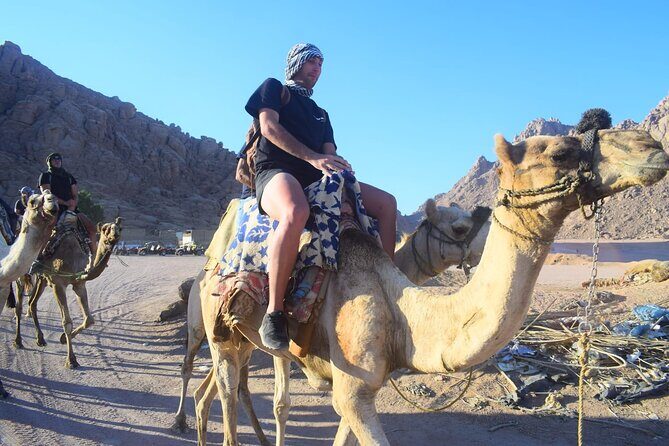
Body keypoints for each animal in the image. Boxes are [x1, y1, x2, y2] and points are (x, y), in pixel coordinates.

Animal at [19, 215, 122, 368]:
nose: (114, 236)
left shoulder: (79, 284)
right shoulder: (58, 284)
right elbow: (66, 322)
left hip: (42, 279)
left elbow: (89, 320)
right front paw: (71, 360)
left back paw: (40, 339)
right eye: (105, 229)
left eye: (120, 228)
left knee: (32, 303)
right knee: (21, 303)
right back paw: (18, 341)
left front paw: (62, 339)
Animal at [171, 200, 490, 439]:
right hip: (203, 325)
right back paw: (180, 420)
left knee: (213, 391)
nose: (489, 231)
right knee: (197, 369)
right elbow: (281, 405)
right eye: (459, 228)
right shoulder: (284, 348)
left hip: (239, 341)